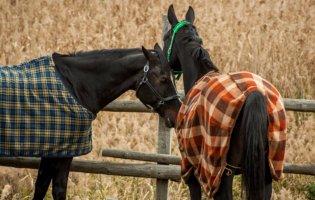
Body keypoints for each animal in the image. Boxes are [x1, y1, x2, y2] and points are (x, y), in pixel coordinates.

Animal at [0, 44, 180, 200]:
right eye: (164, 78)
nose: (177, 114)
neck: (75, 84)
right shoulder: (63, 153)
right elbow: (58, 189)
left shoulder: (52, 151)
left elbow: (41, 187)